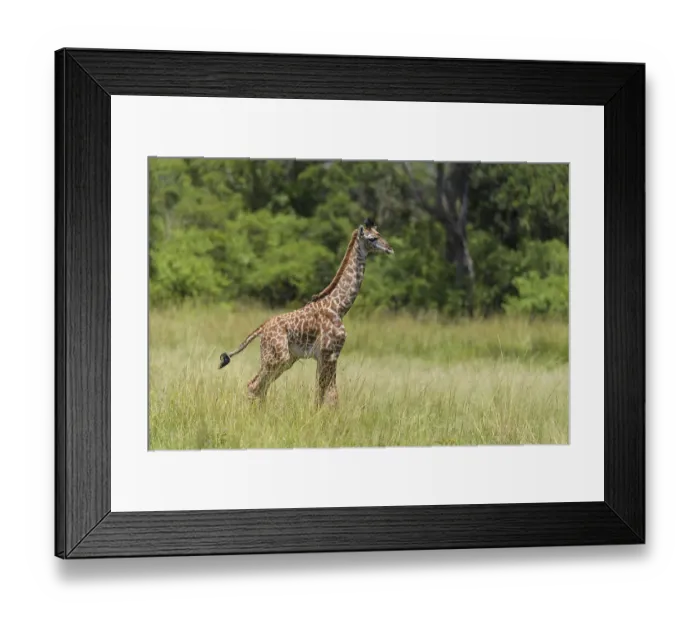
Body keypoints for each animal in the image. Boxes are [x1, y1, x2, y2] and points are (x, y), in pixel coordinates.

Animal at [218, 218, 394, 406]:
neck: (339, 307)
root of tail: (262, 328)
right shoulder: (329, 354)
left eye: (379, 234)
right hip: (277, 357)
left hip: (288, 359)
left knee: (260, 387)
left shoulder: (326, 356)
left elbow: (326, 395)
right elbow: (327, 396)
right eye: (372, 238)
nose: (390, 248)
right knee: (254, 385)